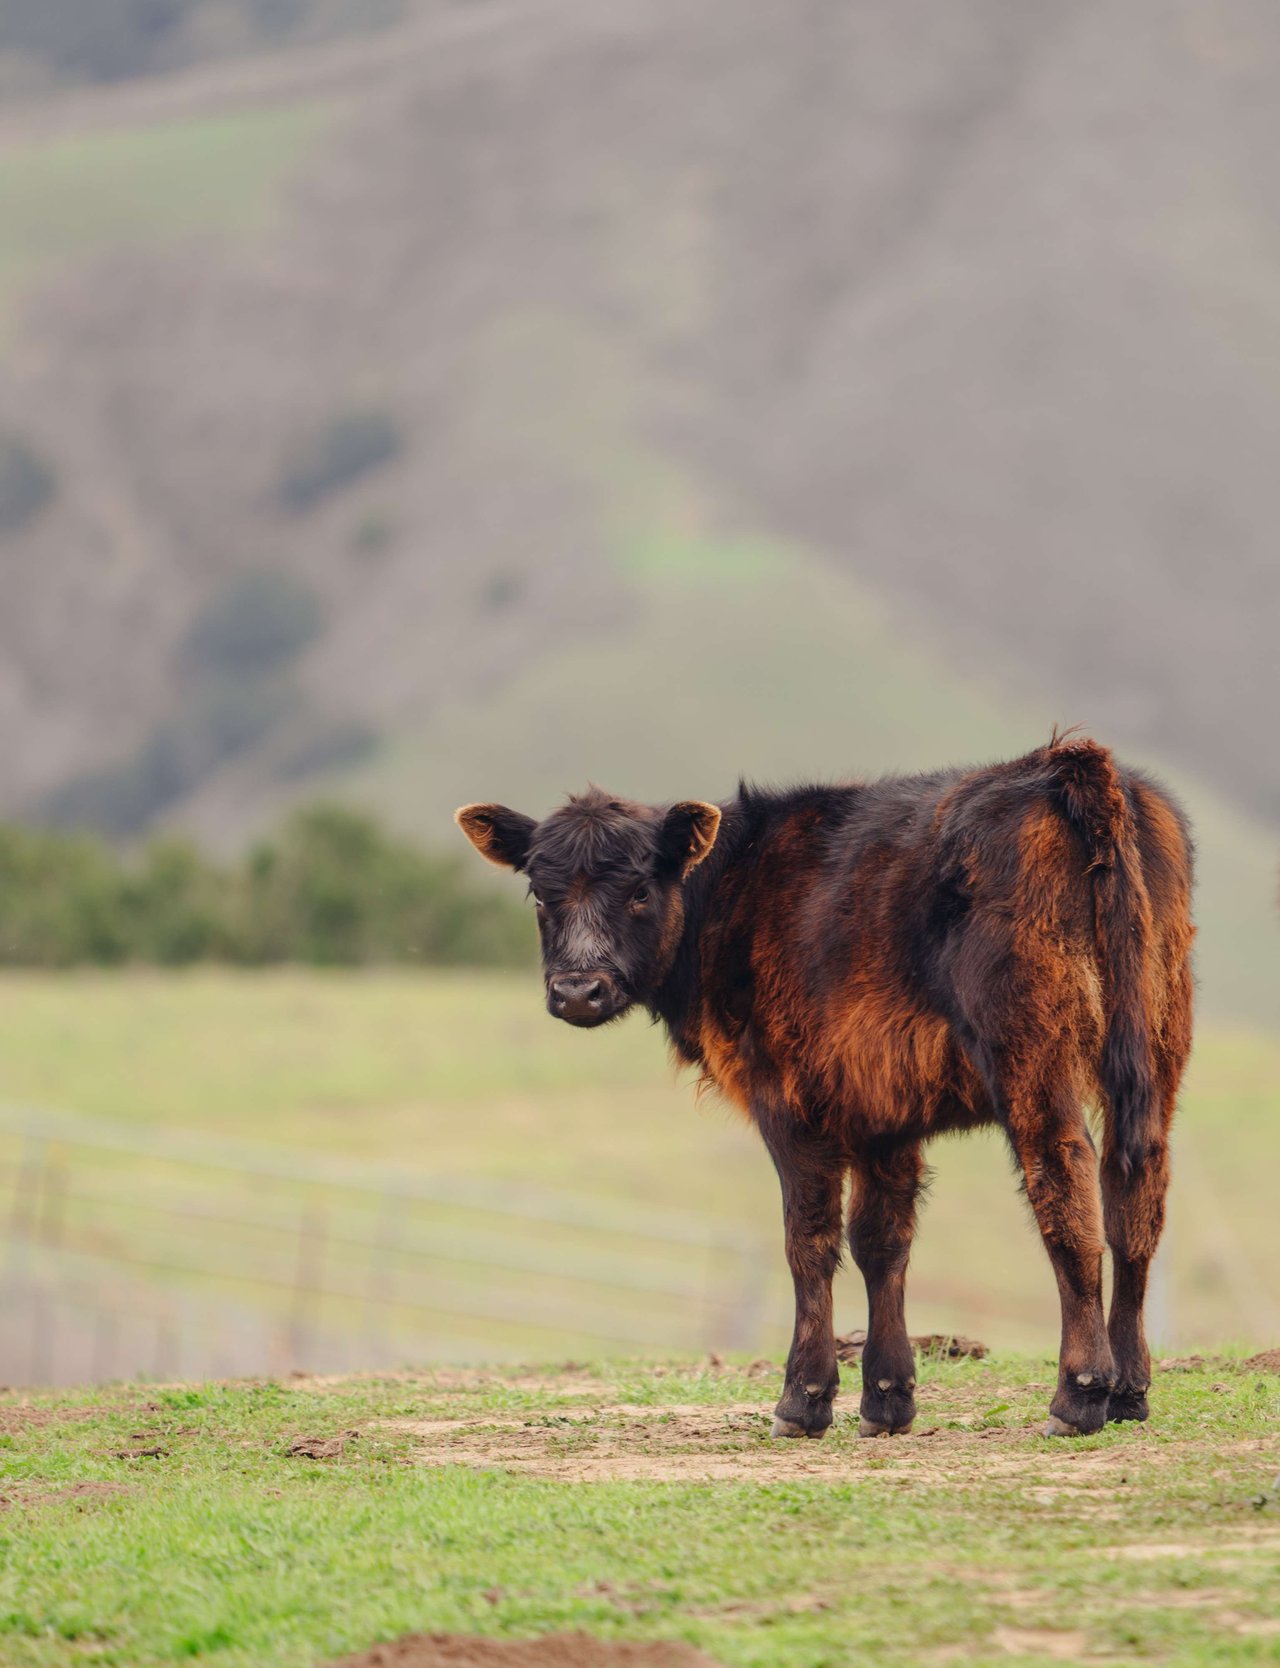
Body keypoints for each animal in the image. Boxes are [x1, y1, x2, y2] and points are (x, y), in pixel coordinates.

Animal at [463, 737, 1201, 1441]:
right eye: (541, 895)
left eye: (640, 890)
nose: (577, 990)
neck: (734, 890)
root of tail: (1064, 764)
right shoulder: (884, 1113)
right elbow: (881, 1240)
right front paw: (888, 1399)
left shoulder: (792, 1103)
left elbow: (809, 1239)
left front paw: (803, 1399)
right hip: (1157, 1050)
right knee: (1136, 1197)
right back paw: (1130, 1392)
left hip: (1033, 1055)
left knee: (1066, 1187)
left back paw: (1078, 1394)